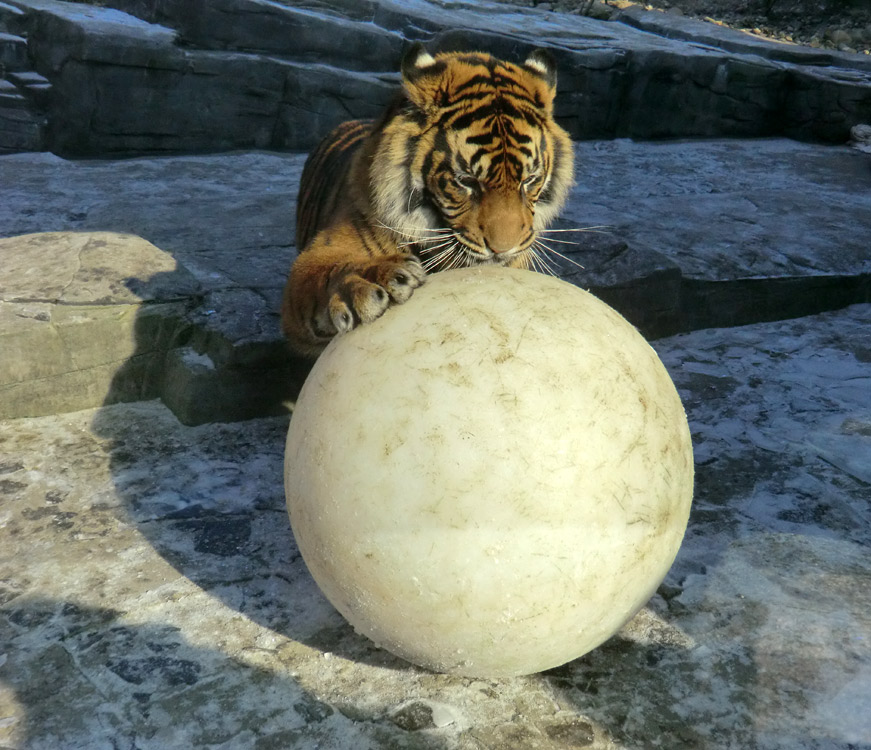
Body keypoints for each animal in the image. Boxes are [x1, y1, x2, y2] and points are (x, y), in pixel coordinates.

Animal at [282, 43, 576, 356]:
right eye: (467, 181)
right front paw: (374, 279)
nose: (502, 250)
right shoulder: (313, 262)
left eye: (529, 180)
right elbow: (326, 272)